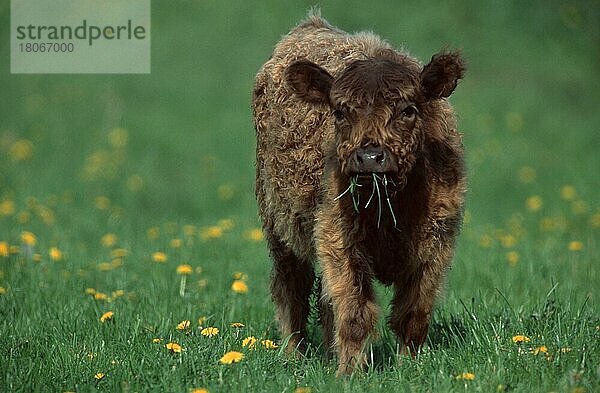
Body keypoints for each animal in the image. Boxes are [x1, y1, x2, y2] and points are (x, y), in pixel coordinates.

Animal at [251, 12, 466, 374]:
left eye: (408, 110)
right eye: (339, 112)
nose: (369, 157)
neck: (392, 208)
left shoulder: (436, 244)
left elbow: (413, 314)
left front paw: (409, 368)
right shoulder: (338, 238)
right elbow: (355, 312)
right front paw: (349, 373)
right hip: (278, 226)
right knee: (291, 288)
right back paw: (294, 354)